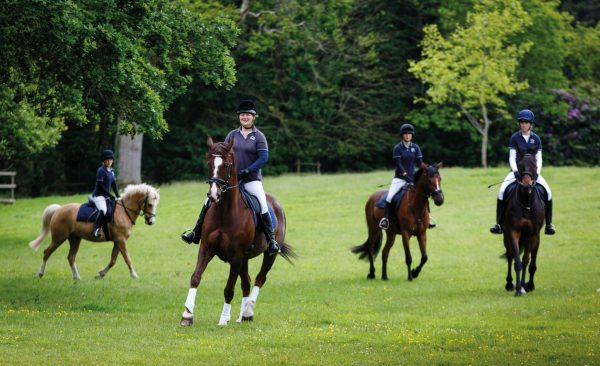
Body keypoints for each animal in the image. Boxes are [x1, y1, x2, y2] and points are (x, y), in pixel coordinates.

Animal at [28, 183, 159, 280]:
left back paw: (77, 278)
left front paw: (100, 274)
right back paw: (40, 274)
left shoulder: (118, 241)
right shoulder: (121, 240)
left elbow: (113, 261)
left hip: (75, 238)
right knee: (47, 252)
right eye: (150, 204)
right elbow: (127, 258)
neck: (124, 211)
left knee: (71, 257)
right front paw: (134, 275)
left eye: (156, 204)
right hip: (59, 238)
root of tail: (59, 209)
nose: (151, 221)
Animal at [180, 137, 298, 326]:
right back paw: (243, 315)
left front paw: (223, 319)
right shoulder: (206, 248)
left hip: (268, 255)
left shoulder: (236, 255)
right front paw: (187, 315)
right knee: (247, 282)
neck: (224, 212)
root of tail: (275, 203)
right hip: (245, 258)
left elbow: (229, 288)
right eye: (209, 163)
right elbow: (195, 277)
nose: (213, 195)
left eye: (227, 164)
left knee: (259, 279)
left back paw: (248, 311)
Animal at [502, 153, 544, 296]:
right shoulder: (513, 232)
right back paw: (510, 284)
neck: (526, 203)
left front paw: (525, 286)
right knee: (510, 256)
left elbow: (526, 261)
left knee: (532, 258)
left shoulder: (532, 234)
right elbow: (518, 262)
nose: (526, 186)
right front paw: (518, 289)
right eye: (519, 166)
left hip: (533, 238)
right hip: (507, 237)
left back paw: (528, 285)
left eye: (535, 166)